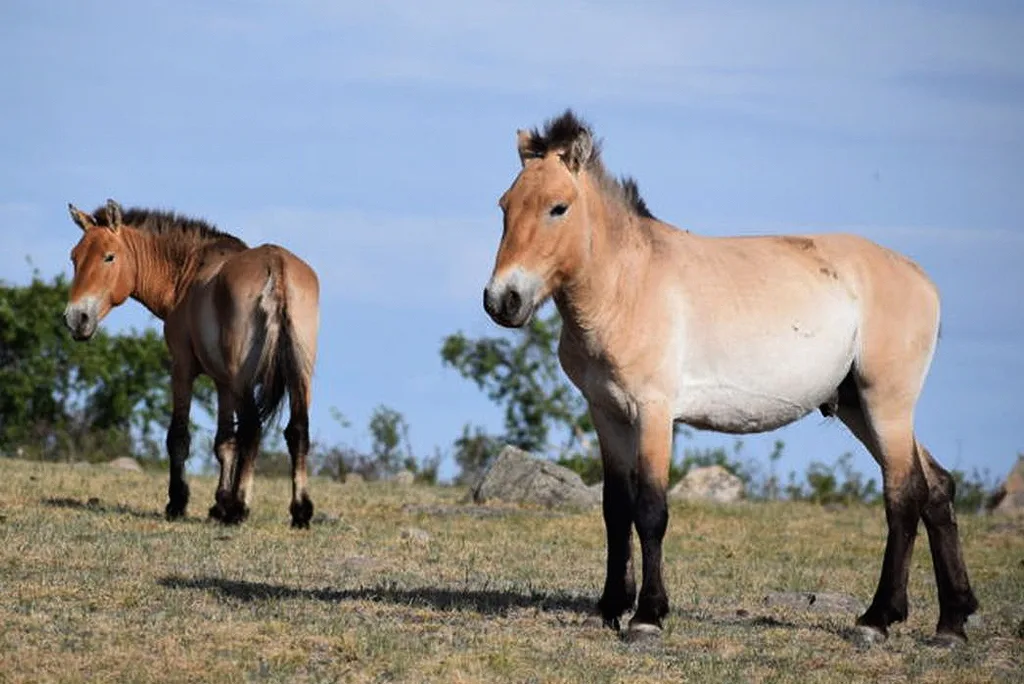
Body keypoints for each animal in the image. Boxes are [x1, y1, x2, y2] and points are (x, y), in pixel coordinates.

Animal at [64, 200, 320, 528]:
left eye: (109, 256)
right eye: (75, 257)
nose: (76, 318)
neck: (188, 272)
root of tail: (276, 265)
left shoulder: (183, 369)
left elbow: (180, 437)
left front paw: (179, 502)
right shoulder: (223, 384)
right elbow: (225, 442)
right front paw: (219, 504)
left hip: (244, 381)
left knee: (252, 428)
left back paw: (240, 508)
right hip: (298, 378)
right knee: (297, 431)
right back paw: (299, 511)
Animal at [483, 111, 978, 644]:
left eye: (559, 207)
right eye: (505, 206)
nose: (503, 300)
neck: (627, 285)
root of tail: (922, 280)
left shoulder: (654, 412)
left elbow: (650, 510)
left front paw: (647, 616)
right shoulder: (606, 412)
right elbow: (616, 509)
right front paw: (611, 607)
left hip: (886, 402)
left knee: (903, 495)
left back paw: (877, 619)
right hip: (855, 407)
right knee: (937, 487)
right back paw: (952, 621)